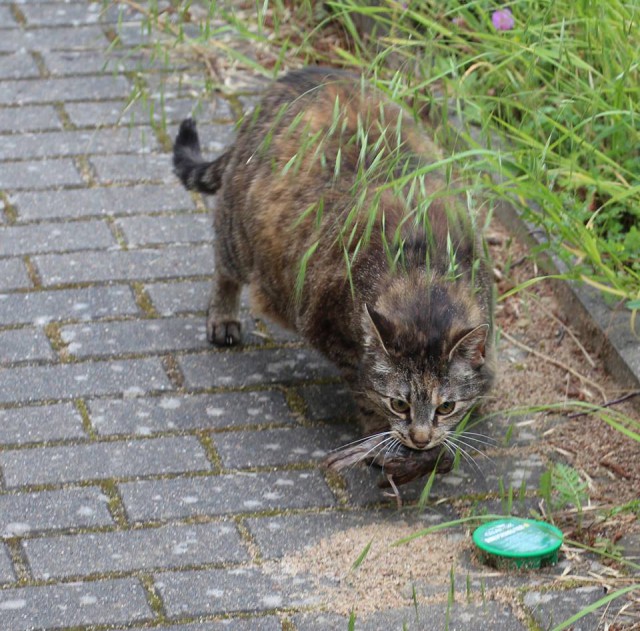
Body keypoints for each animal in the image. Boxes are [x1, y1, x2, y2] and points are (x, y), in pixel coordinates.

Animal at [171, 65, 496, 488]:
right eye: (399, 403)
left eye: (446, 406)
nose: (420, 437)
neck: (425, 277)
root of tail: (300, 73)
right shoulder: (332, 333)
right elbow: (366, 393)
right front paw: (387, 446)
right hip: (238, 236)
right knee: (224, 267)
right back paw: (222, 316)